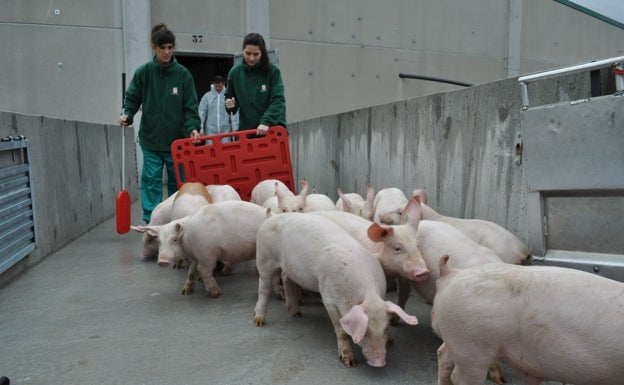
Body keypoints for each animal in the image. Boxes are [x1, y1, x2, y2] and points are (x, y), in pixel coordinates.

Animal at [132, 200, 268, 296]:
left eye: (174, 239)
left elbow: (196, 271)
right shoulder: (201, 254)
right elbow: (196, 271)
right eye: (159, 241)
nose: (161, 261)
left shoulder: (202, 254)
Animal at [254, 213, 420, 366]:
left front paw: (391, 341)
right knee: (263, 287)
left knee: (285, 276)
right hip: (263, 257)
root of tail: (272, 216)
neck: (368, 294)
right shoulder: (329, 299)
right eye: (365, 332)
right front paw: (349, 362)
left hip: (290, 268)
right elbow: (340, 330)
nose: (379, 363)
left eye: (385, 328)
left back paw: (296, 313)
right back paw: (258, 321)